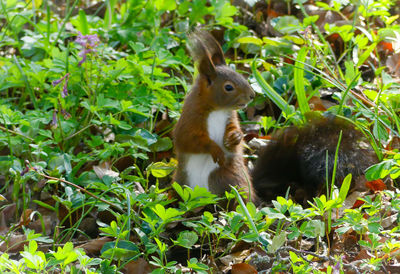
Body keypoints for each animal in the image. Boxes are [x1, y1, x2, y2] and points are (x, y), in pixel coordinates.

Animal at [173, 31, 256, 200]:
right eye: (228, 87)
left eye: (239, 74)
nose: (252, 95)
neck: (218, 110)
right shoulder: (189, 121)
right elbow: (189, 140)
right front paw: (215, 149)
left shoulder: (230, 117)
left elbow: (233, 130)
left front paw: (235, 137)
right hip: (180, 181)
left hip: (232, 178)